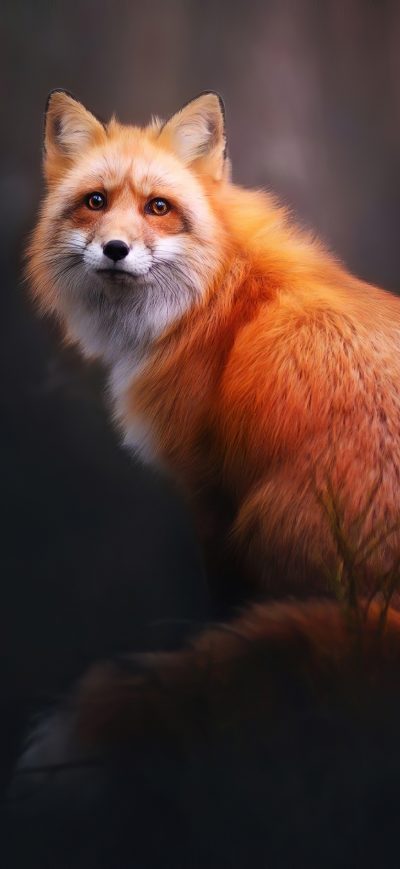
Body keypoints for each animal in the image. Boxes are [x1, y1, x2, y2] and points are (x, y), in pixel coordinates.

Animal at [14, 90, 400, 796]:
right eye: (95, 201)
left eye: (159, 208)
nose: (115, 249)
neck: (217, 291)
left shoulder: (210, 489)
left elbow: (220, 608)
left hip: (266, 522)